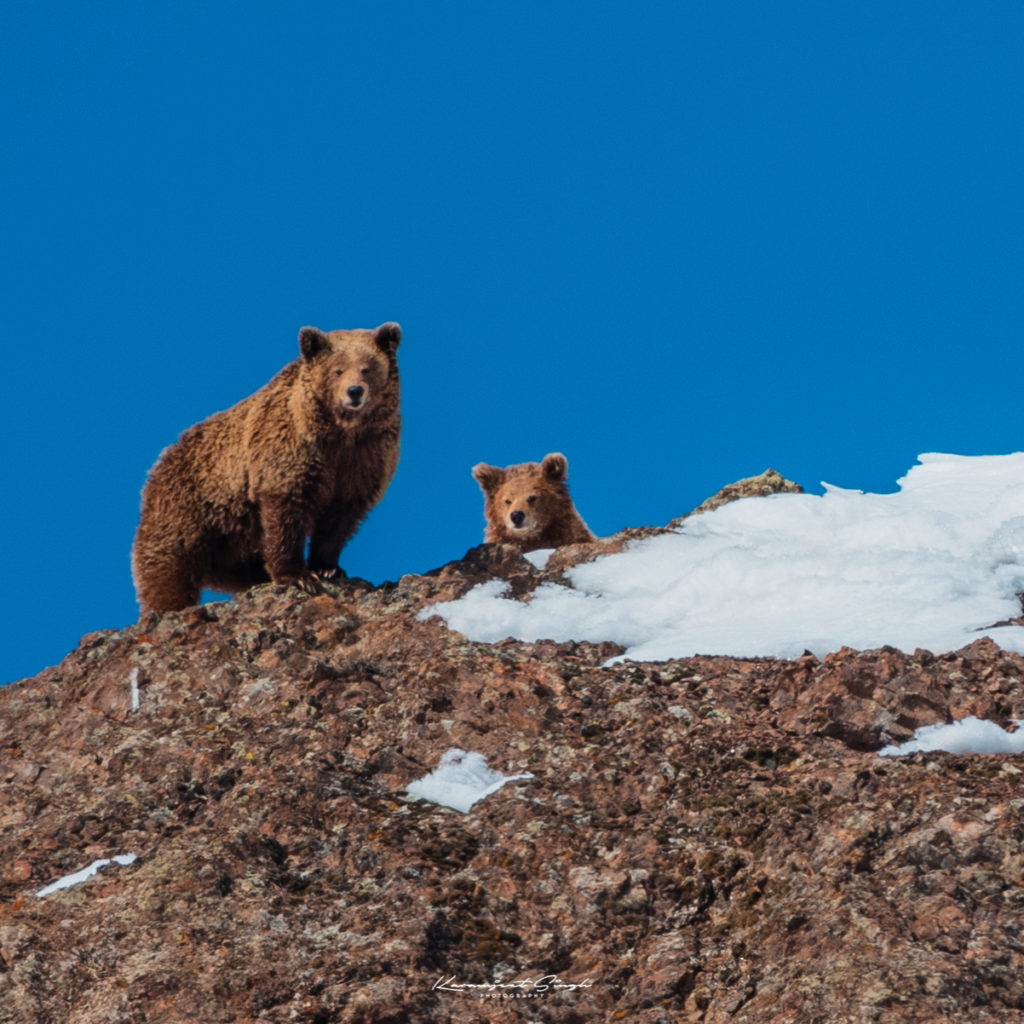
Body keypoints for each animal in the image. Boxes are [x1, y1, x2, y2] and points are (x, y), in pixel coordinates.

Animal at [129, 323, 399, 610]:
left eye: (367, 367)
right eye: (337, 369)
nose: (354, 391)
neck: (339, 434)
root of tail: (159, 464)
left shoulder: (364, 458)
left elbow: (342, 516)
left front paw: (328, 568)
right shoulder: (288, 452)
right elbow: (285, 513)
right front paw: (298, 576)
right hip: (188, 507)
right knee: (170, 565)